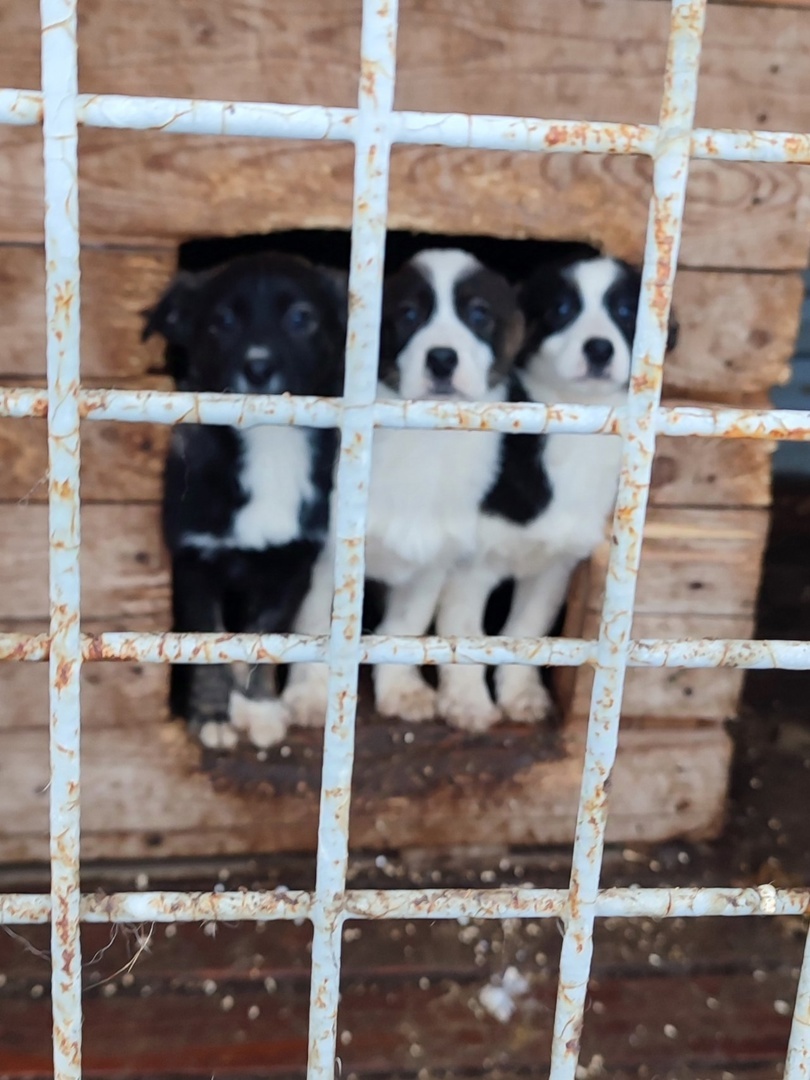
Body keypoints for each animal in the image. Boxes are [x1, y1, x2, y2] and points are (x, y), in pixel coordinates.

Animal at [143, 250, 345, 751]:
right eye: (222, 323)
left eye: (301, 319)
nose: (257, 367)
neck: (268, 444)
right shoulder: (193, 566)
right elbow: (210, 647)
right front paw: (213, 714)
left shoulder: (291, 569)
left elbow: (260, 642)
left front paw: (259, 707)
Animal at [282, 247, 527, 725]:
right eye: (409, 314)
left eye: (479, 314)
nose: (442, 359)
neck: (424, 444)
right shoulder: (324, 560)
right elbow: (317, 627)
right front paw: (310, 696)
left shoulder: (433, 564)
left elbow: (404, 629)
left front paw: (401, 690)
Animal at [438, 251, 678, 725]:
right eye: (562, 309)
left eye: (626, 311)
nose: (599, 348)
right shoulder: (468, 566)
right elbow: (466, 635)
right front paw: (470, 703)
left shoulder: (555, 566)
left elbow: (525, 632)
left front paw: (521, 694)